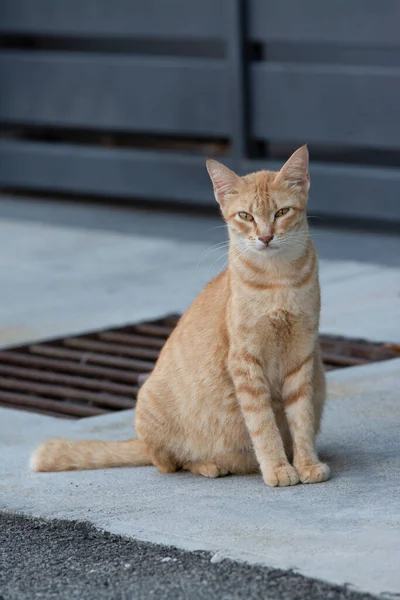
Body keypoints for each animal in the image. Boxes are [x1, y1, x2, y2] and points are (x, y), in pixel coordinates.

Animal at [31, 146, 330, 488]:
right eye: (245, 216)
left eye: (281, 212)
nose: (265, 237)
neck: (278, 281)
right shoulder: (245, 363)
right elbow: (263, 425)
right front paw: (278, 467)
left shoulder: (301, 356)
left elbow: (301, 419)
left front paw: (306, 463)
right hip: (152, 410)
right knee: (169, 463)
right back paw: (211, 464)